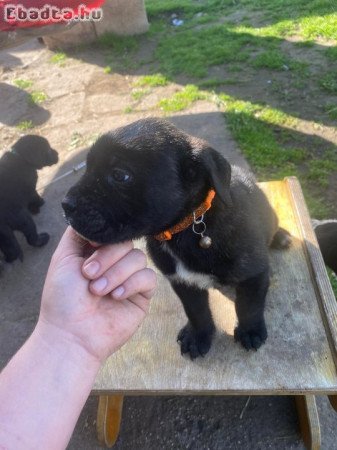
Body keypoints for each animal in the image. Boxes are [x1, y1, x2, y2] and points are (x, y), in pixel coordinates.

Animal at [0, 134, 58, 262]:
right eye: (48, 149)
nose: (57, 153)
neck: (22, 158)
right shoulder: (31, 189)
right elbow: (34, 196)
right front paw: (40, 203)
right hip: (22, 218)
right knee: (31, 238)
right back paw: (43, 239)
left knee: (11, 249)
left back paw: (8, 259)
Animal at [62, 118, 288, 358]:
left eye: (120, 175)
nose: (65, 205)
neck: (188, 226)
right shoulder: (182, 282)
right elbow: (196, 311)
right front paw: (199, 336)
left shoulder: (254, 273)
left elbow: (249, 306)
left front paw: (250, 330)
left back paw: (281, 237)